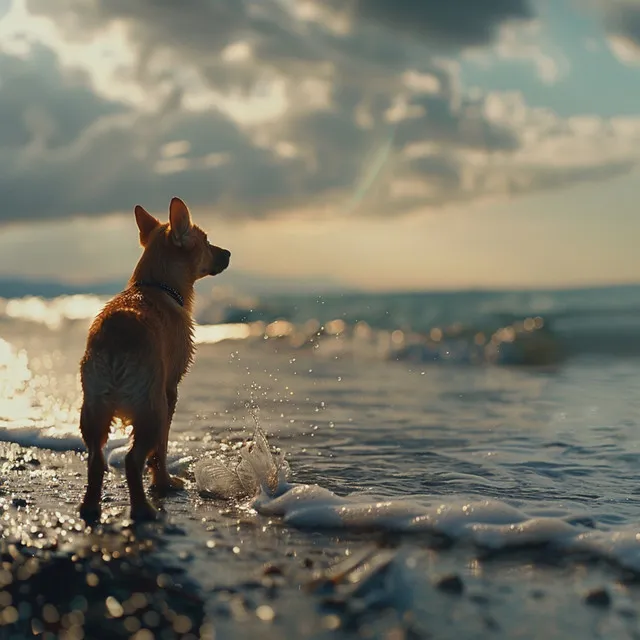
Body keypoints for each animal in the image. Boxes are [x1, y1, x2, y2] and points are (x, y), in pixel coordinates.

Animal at [79, 198, 231, 524]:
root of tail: (116, 341)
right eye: (207, 242)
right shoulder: (170, 391)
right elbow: (161, 448)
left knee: (96, 459)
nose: (228, 253)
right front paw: (163, 483)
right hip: (152, 409)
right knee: (132, 459)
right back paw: (143, 509)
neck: (155, 284)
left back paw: (90, 507)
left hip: (93, 408)